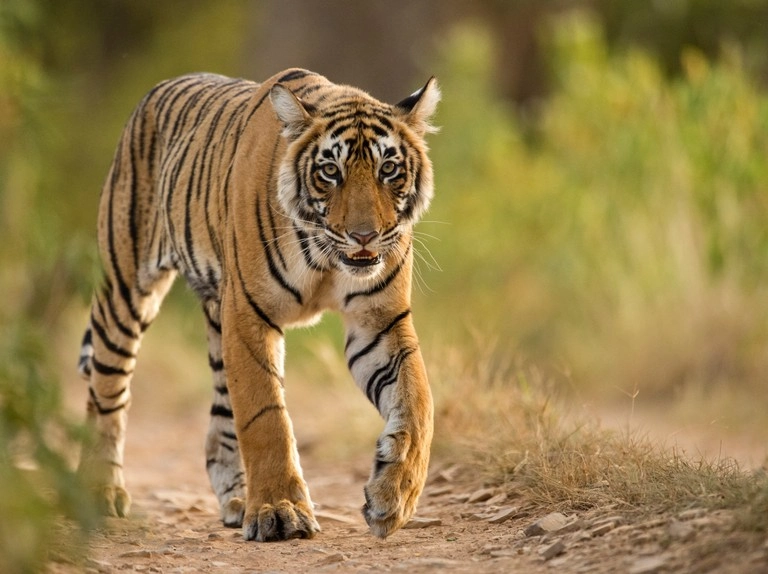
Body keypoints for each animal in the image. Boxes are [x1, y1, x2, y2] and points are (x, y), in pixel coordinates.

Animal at [76, 68, 439, 542]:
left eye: (389, 169)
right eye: (330, 171)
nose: (364, 236)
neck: (325, 256)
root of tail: (158, 88)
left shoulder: (378, 321)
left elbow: (417, 402)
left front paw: (393, 497)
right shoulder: (249, 313)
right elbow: (266, 416)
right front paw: (279, 512)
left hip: (216, 320)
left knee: (218, 423)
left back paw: (235, 500)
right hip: (125, 289)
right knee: (107, 392)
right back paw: (100, 491)